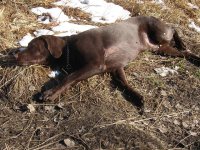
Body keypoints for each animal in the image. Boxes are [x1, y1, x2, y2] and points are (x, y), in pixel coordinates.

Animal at [1, 15, 200, 110]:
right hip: (161, 48)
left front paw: (50, 93)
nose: (17, 56)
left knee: (173, 28)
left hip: (160, 34)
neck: (69, 50)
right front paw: (138, 97)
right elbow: (124, 83)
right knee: (184, 53)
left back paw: (184, 43)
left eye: (32, 46)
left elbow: (69, 77)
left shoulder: (96, 64)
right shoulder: (116, 68)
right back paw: (195, 57)